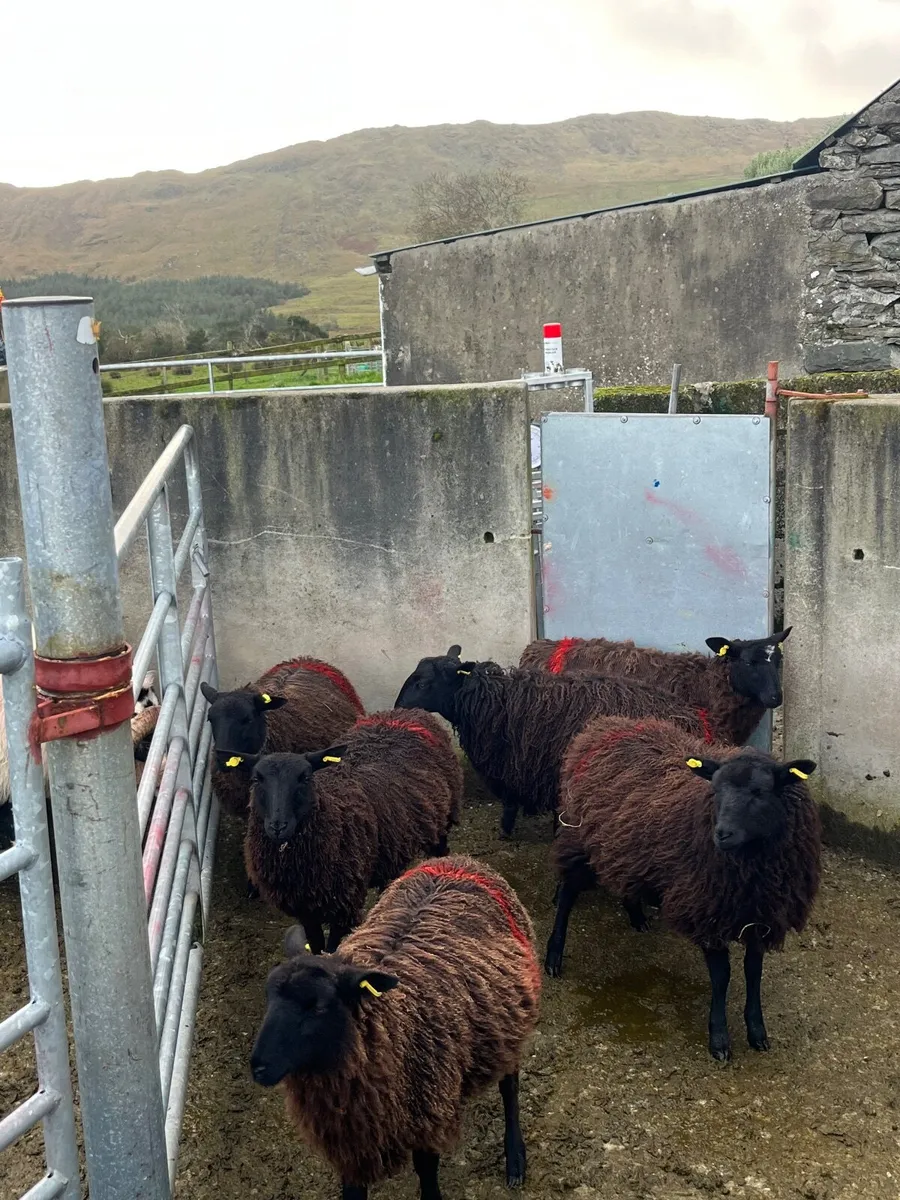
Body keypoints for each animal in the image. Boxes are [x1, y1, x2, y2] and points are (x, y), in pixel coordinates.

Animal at [238, 708, 463, 953]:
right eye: (256, 779)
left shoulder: (345, 904)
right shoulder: (305, 908)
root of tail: (408, 712)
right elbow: (316, 944)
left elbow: (332, 947)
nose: (278, 826)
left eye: (305, 777)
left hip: (441, 819)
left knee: (441, 850)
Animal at [249, 853, 541, 1199]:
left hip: (510, 1019)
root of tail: (460, 860)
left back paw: (515, 1158)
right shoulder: (353, 1143)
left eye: (318, 1006)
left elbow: (427, 1174)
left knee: (510, 1087)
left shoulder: (427, 1116)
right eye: (267, 996)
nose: (258, 1067)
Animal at [394, 644, 713, 838]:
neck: (495, 701)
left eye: (422, 682)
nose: (397, 707)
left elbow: (511, 802)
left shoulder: (516, 765)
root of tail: (694, 719)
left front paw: (506, 831)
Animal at [545, 714, 821, 1060]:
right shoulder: (706, 909)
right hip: (579, 838)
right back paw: (553, 955)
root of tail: (604, 725)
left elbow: (753, 972)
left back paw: (636, 915)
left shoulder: (761, 914)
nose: (722, 834)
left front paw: (757, 1031)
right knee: (567, 894)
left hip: (623, 847)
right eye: (714, 789)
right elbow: (722, 977)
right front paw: (719, 1039)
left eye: (760, 791)